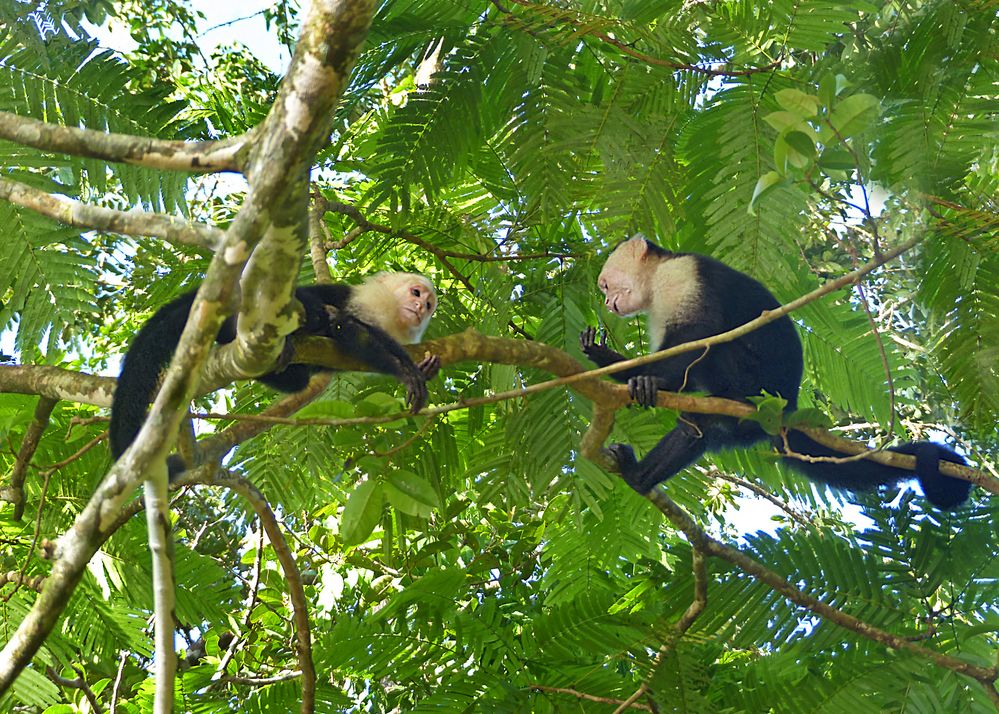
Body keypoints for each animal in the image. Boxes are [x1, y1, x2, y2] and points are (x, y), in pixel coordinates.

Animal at [111, 270, 440, 470]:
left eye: (429, 304)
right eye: (415, 293)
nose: (420, 308)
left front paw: (426, 367)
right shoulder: (368, 302)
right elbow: (351, 331)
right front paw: (407, 371)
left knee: (297, 380)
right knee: (311, 307)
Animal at [584, 236, 972, 508]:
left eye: (605, 285)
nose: (607, 303)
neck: (655, 278)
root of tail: (788, 405)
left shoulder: (680, 276)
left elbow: (698, 335)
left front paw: (645, 378)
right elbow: (685, 376)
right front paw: (606, 359)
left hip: (760, 386)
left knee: (721, 348)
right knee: (697, 428)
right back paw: (639, 475)